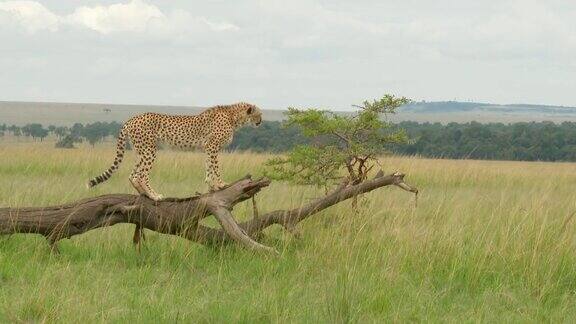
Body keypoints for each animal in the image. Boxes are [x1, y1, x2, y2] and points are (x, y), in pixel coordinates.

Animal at [86, 102, 264, 201]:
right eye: (259, 114)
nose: (261, 121)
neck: (234, 116)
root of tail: (133, 118)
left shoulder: (208, 148)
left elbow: (208, 168)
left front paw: (212, 186)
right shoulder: (213, 146)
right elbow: (215, 167)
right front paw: (220, 184)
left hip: (140, 151)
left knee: (132, 175)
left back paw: (143, 194)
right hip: (149, 150)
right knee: (140, 175)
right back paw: (154, 195)